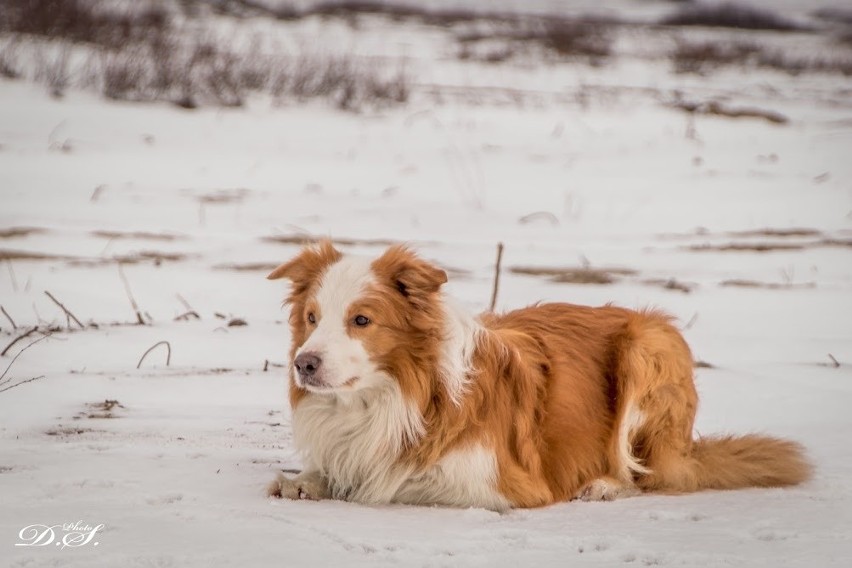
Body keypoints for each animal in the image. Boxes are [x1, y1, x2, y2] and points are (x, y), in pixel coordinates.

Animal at [268, 241, 812, 510]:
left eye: (361, 320)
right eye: (312, 318)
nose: (304, 364)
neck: (395, 395)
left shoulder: (501, 484)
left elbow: (396, 481)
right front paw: (303, 481)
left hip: (649, 347)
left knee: (654, 475)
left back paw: (605, 486)